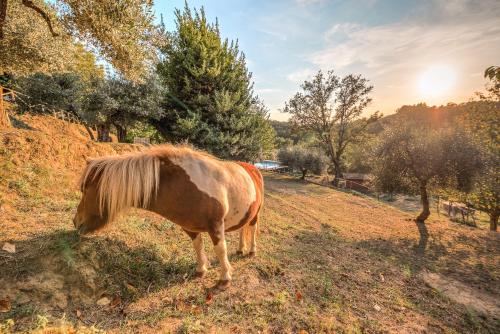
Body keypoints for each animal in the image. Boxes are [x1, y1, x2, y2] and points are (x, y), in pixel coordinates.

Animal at [73, 145, 266, 288]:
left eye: (84, 189)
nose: (75, 222)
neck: (185, 186)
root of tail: (253, 168)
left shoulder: (216, 226)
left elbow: (220, 250)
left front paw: (224, 279)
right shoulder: (190, 227)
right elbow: (198, 247)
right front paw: (201, 270)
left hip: (256, 214)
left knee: (253, 228)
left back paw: (251, 251)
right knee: (242, 228)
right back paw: (240, 249)